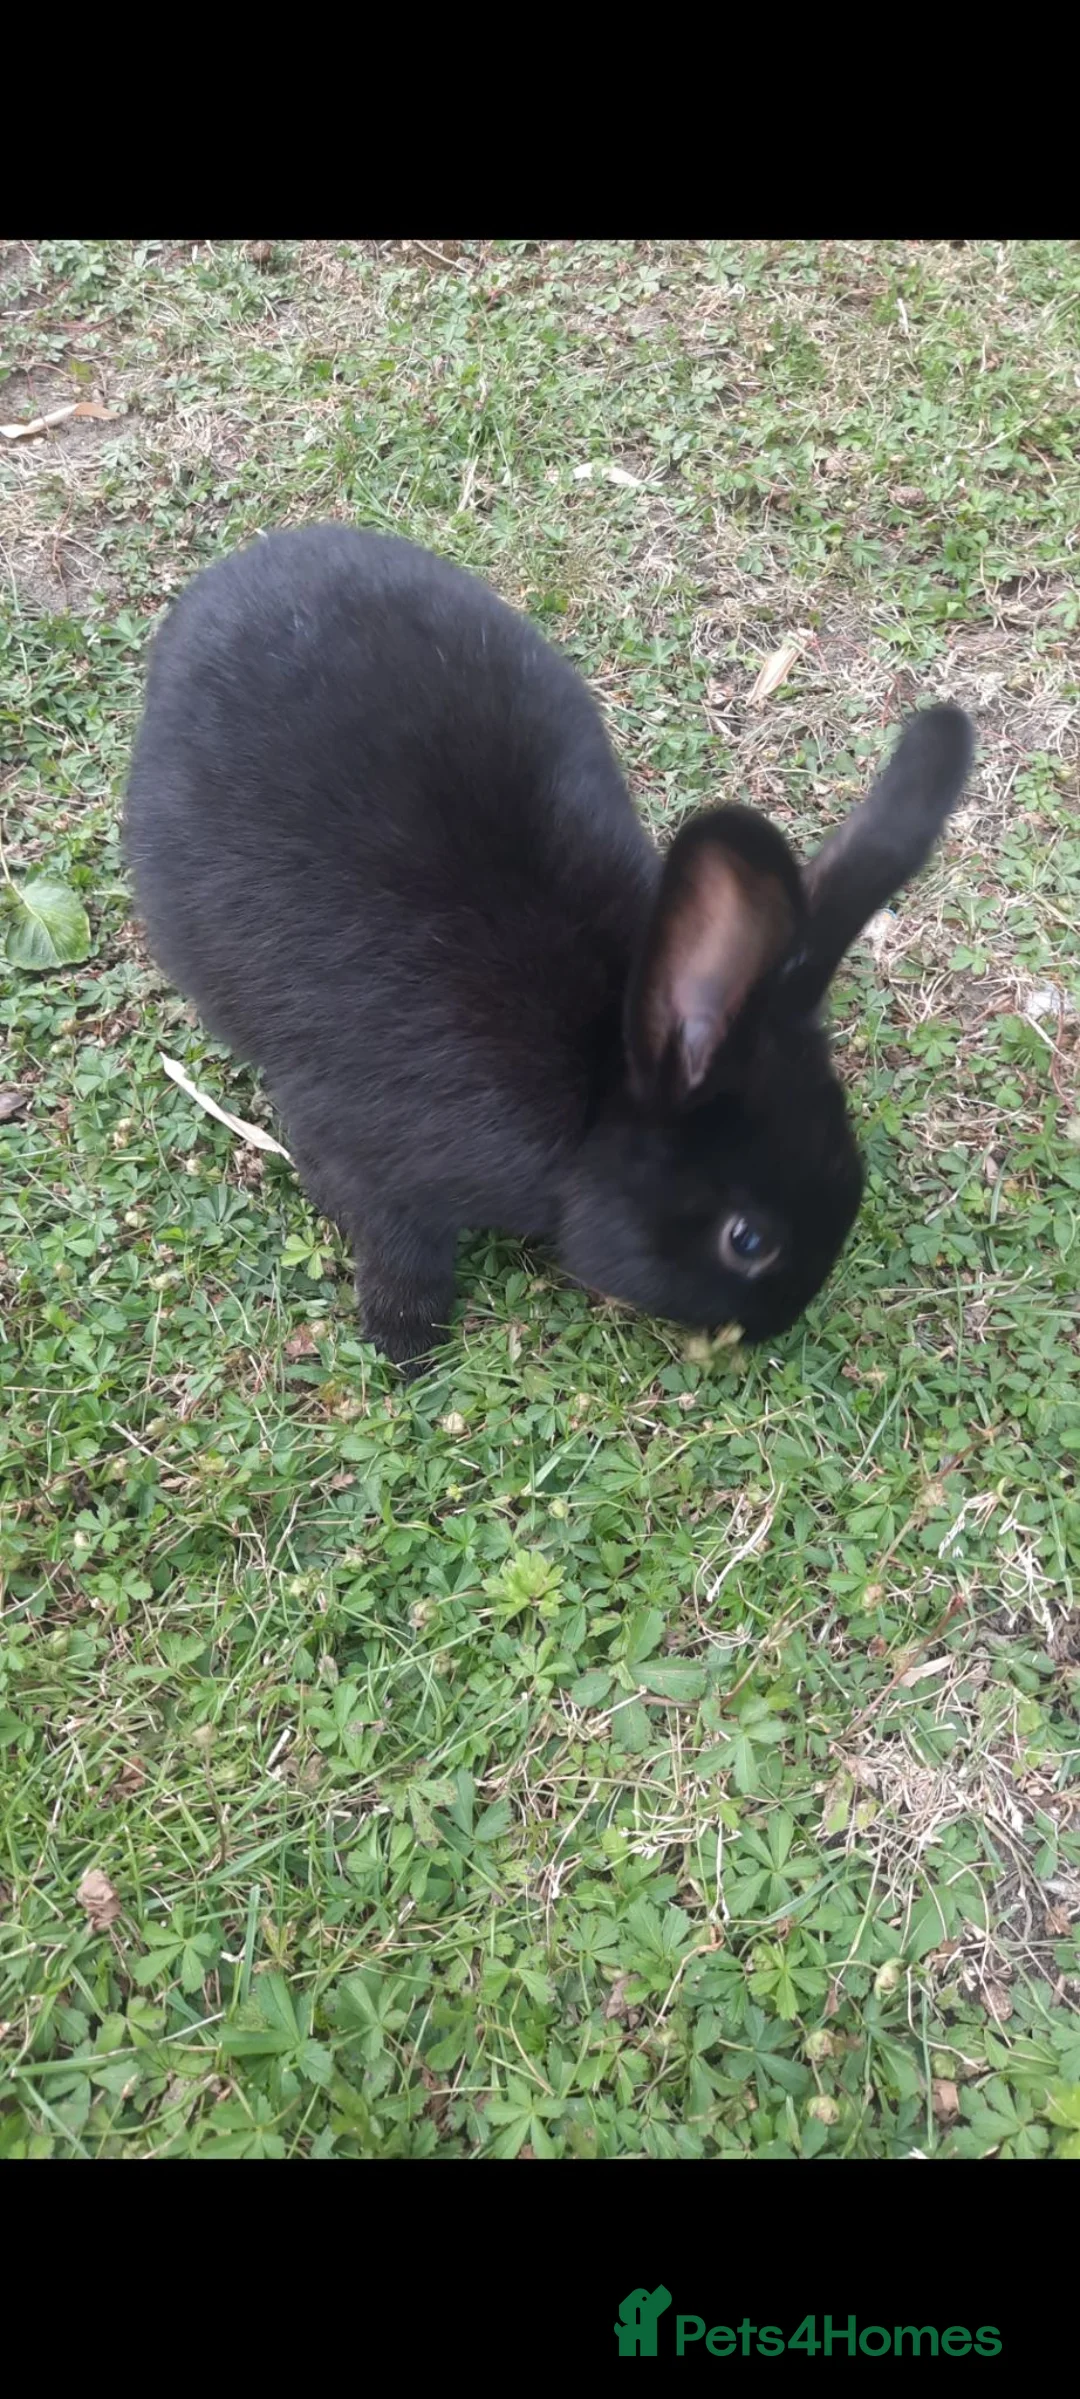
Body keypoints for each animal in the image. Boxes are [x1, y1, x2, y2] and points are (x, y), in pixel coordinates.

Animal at [124, 524, 975, 1372]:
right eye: (748, 1239)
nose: (782, 1322)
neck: (599, 1085)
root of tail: (233, 575)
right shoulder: (367, 1161)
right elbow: (400, 1247)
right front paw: (406, 1346)